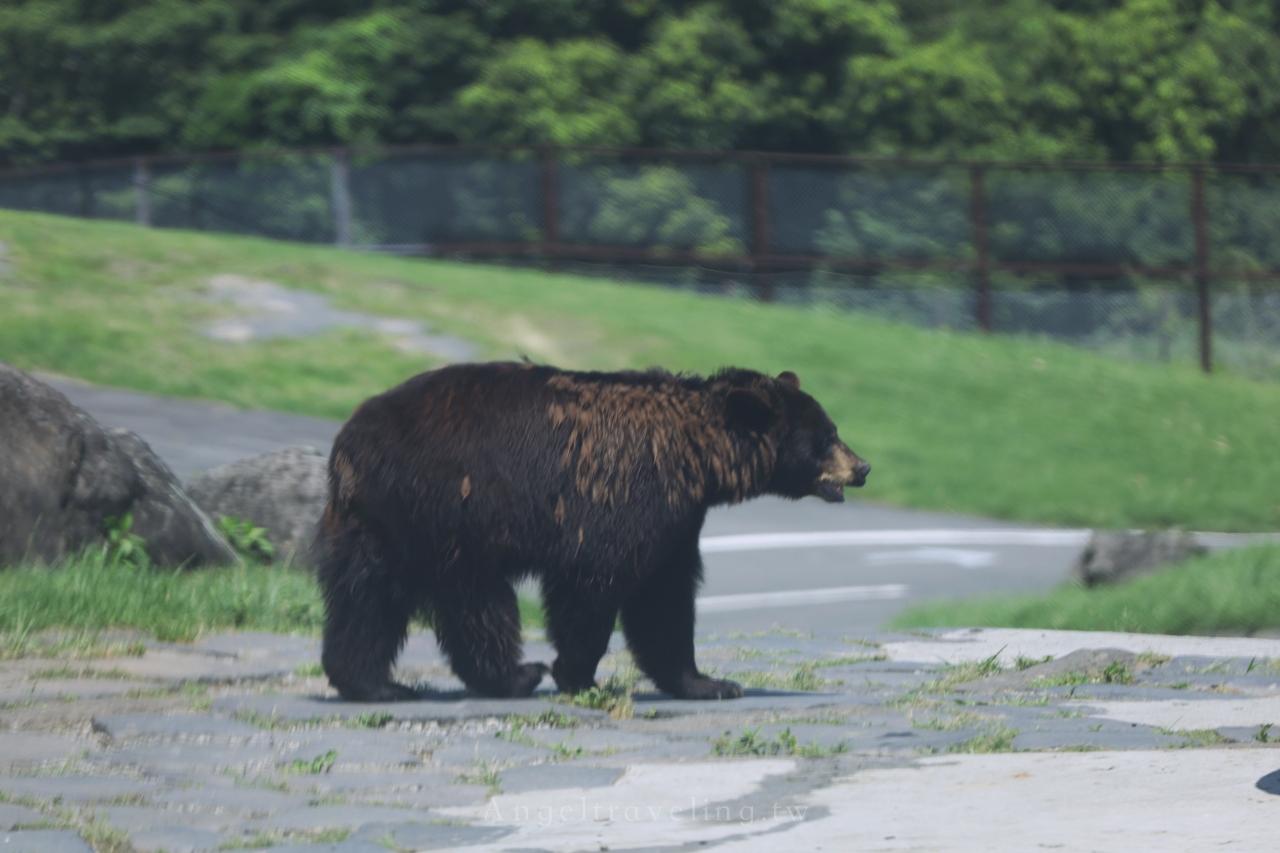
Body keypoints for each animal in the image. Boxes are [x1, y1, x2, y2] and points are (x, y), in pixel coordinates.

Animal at [314, 358, 870, 696]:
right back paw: (516, 674)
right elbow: (596, 581)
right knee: (473, 599)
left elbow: (666, 596)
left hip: (376, 524)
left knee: (365, 598)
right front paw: (576, 673)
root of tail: (348, 444)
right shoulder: (623, 496)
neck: (697, 461)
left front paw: (708, 682)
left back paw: (373, 683)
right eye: (825, 438)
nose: (861, 467)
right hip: (452, 508)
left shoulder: (677, 518)